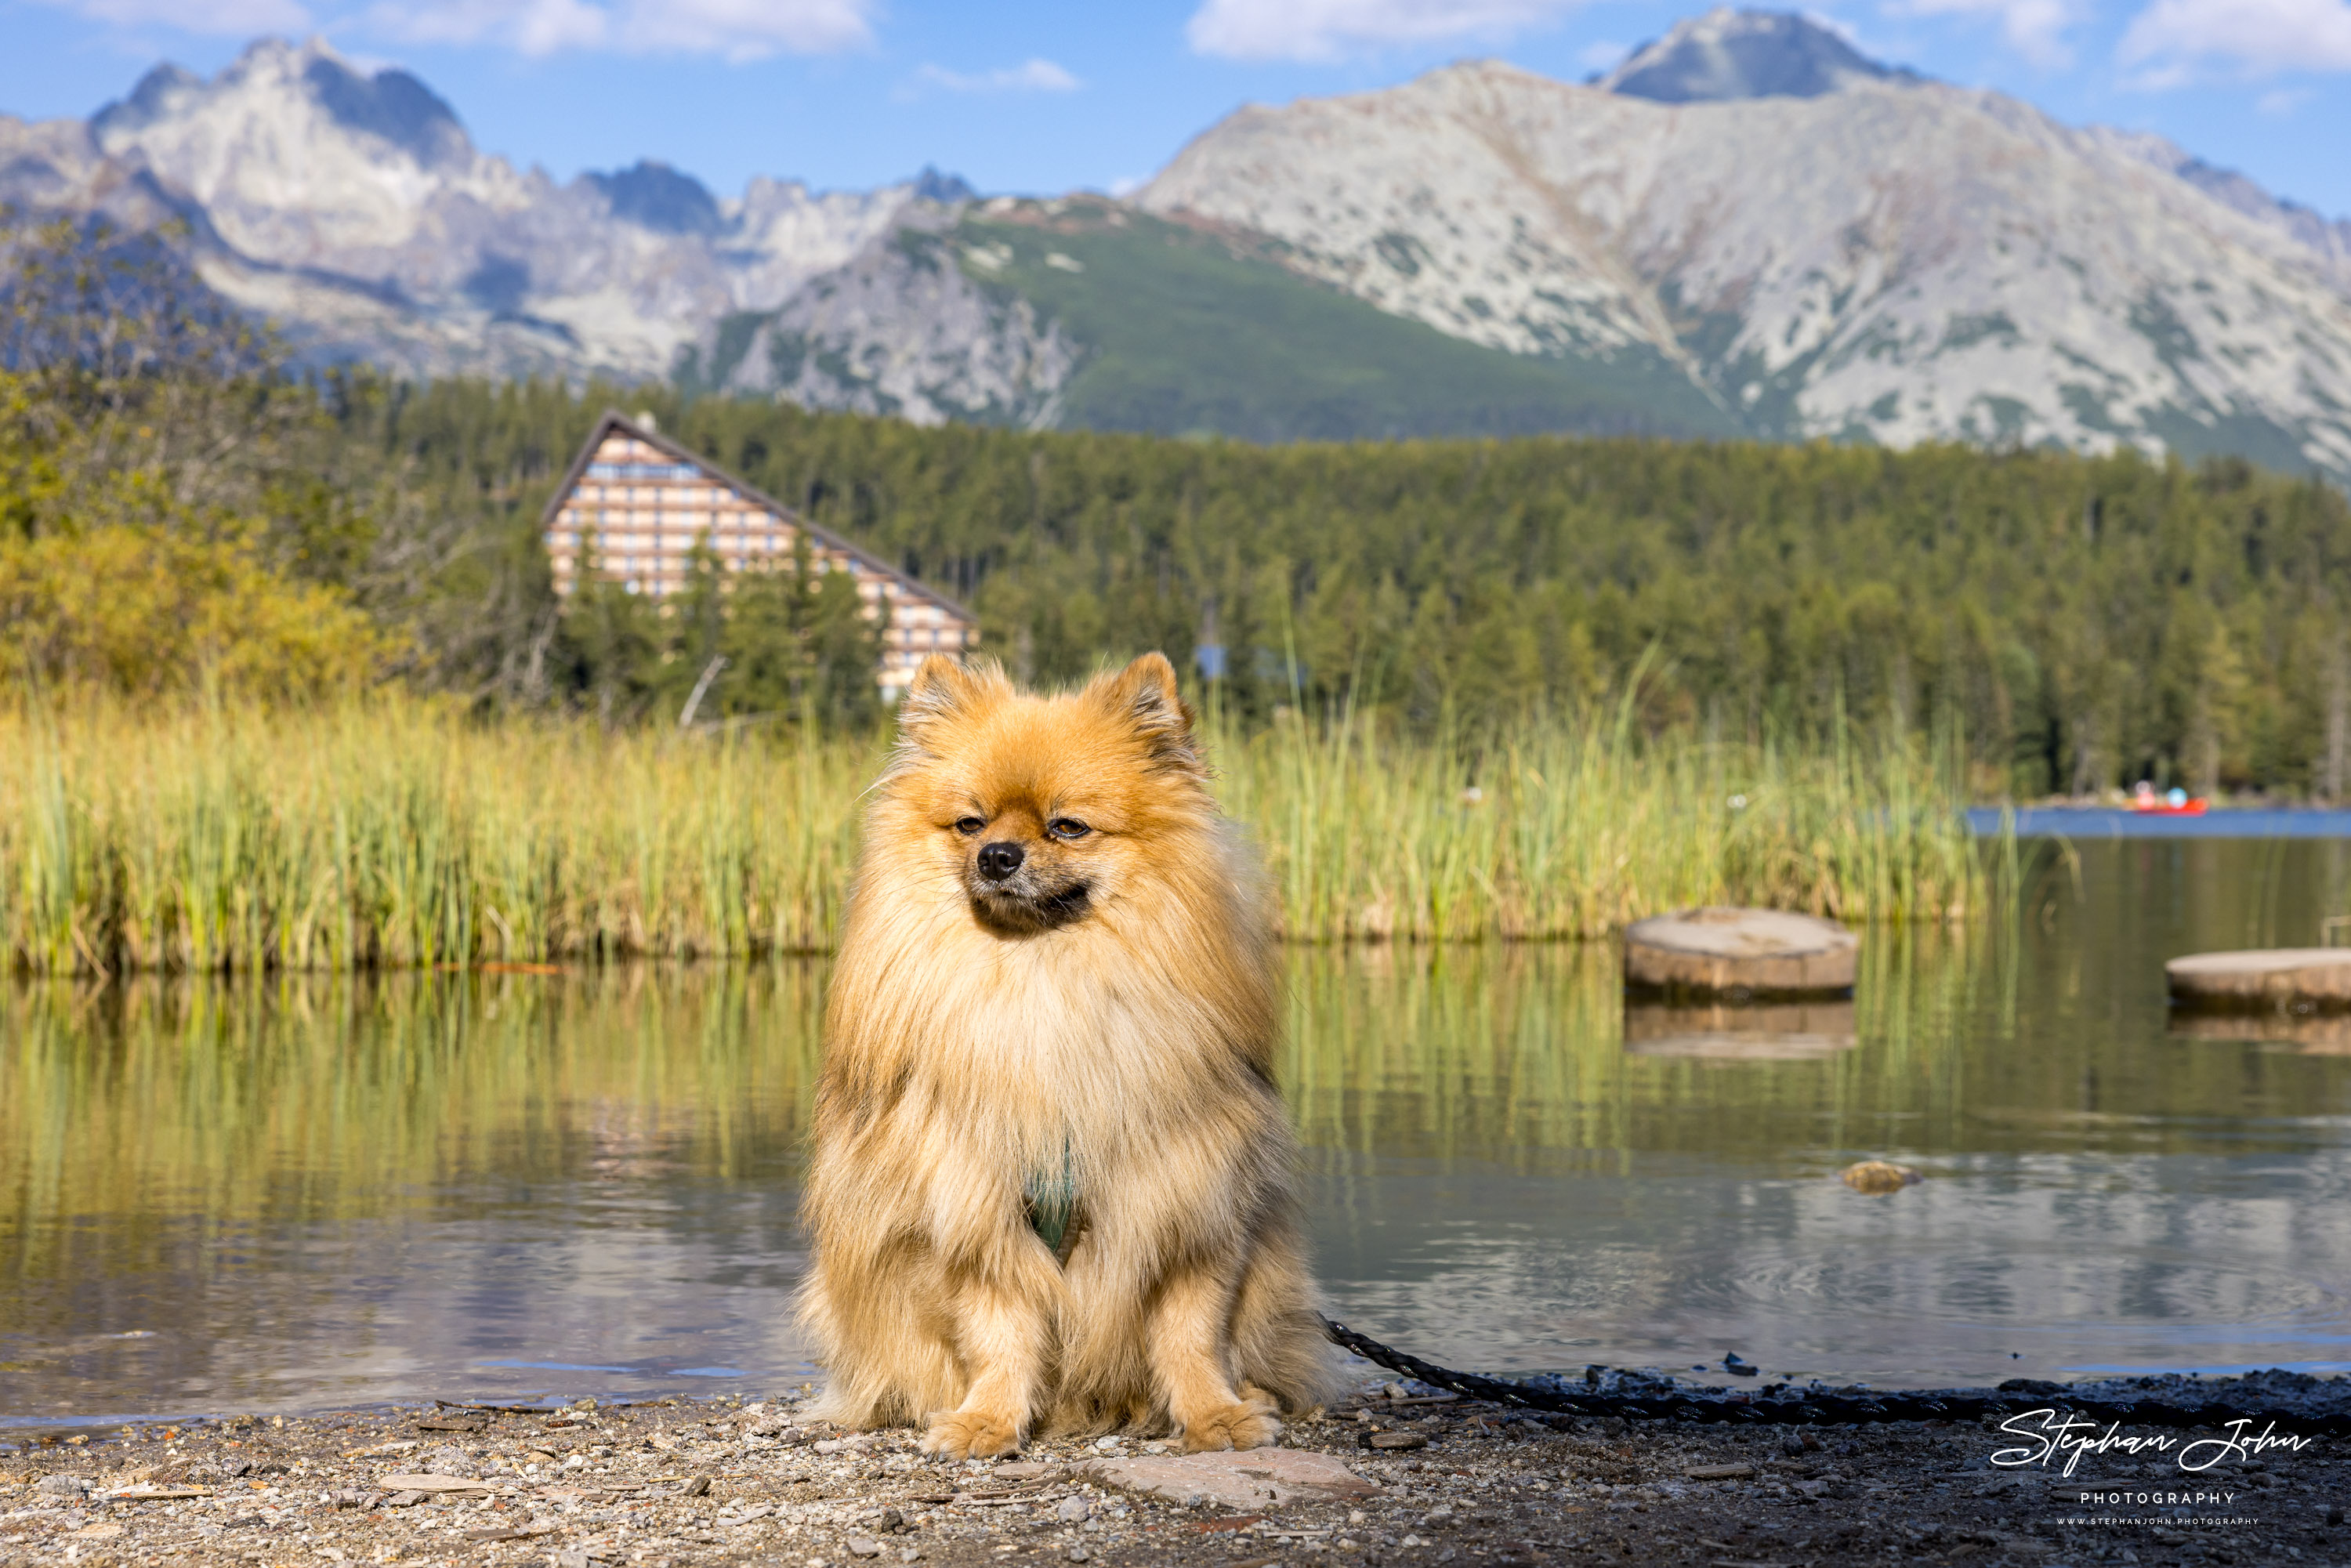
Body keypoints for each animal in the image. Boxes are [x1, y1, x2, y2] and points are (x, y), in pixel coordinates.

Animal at [795, 649, 1335, 1458]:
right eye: (970, 823)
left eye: (1068, 826)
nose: (997, 855)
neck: (1044, 985)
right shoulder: (973, 1206)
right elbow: (998, 1329)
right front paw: (987, 1419)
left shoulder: (1188, 1196)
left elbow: (1191, 1329)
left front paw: (1215, 1415)